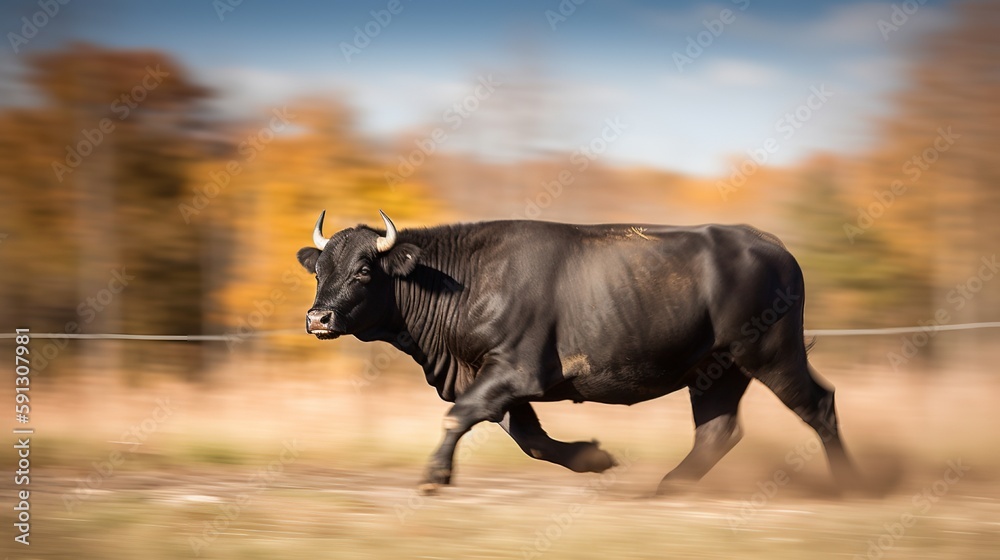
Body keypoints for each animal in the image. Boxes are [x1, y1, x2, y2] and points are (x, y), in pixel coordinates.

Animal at [297, 210, 859, 495]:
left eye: (363, 271)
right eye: (320, 270)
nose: (317, 318)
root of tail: (766, 242)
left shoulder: (516, 370)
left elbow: (460, 416)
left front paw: (435, 476)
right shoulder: (498, 381)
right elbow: (531, 439)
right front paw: (594, 457)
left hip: (771, 353)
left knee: (819, 406)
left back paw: (850, 483)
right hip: (716, 370)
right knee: (717, 432)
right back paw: (668, 487)